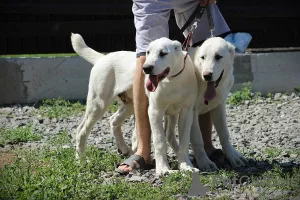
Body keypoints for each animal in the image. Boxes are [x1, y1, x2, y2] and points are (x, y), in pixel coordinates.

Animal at [71, 33, 214, 176]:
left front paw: (186, 166)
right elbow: (159, 141)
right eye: (148, 52)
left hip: (129, 105)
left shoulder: (186, 112)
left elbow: (184, 141)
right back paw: (80, 159)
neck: (172, 80)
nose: (146, 68)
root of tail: (103, 58)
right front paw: (163, 169)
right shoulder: (155, 112)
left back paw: (124, 149)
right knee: (81, 130)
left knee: (113, 120)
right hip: (98, 103)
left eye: (163, 53)